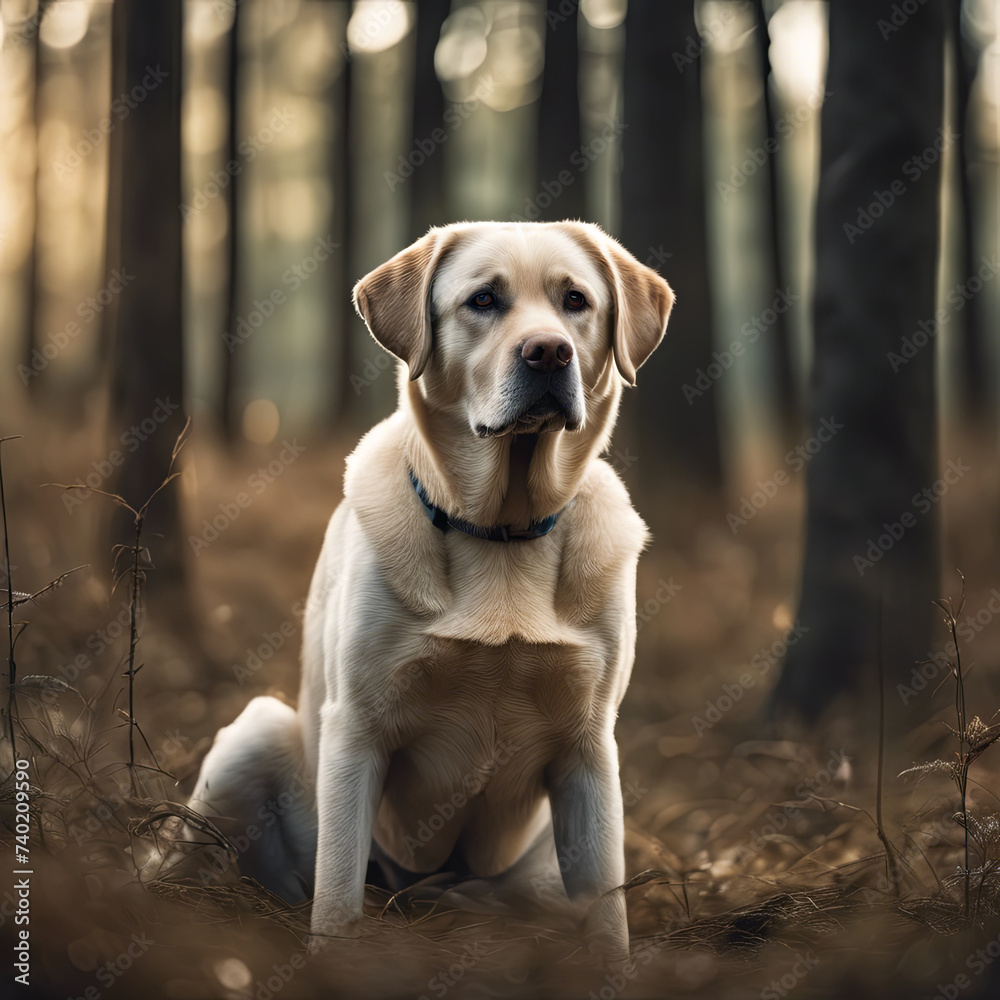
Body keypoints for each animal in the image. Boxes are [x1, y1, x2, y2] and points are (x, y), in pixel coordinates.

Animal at [185, 221, 676, 960]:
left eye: (575, 301)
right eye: (483, 300)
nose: (548, 351)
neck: (502, 531)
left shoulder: (589, 747)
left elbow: (607, 916)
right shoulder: (357, 729)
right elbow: (336, 897)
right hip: (258, 733)